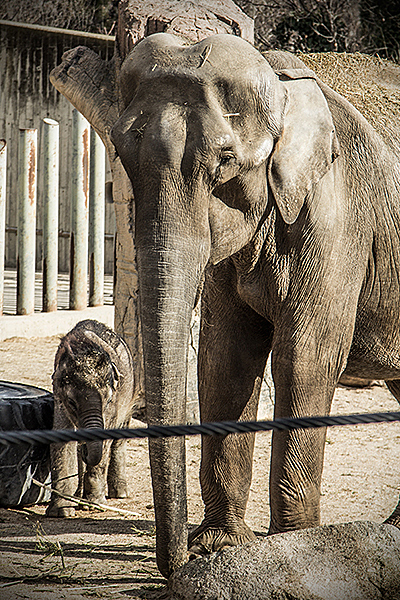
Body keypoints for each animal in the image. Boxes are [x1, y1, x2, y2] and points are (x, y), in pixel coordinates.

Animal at [44, 322, 139, 516]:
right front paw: (62, 512)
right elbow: (62, 438)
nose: (85, 450)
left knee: (119, 438)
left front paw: (93, 505)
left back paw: (119, 494)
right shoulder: (59, 398)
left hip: (130, 393)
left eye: (108, 400)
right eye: (71, 402)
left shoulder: (113, 406)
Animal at [111, 32, 400, 576]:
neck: (279, 80)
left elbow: (306, 359)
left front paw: (298, 546)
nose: (177, 563)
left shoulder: (336, 218)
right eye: (119, 150)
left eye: (225, 159)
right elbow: (226, 358)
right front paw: (220, 546)